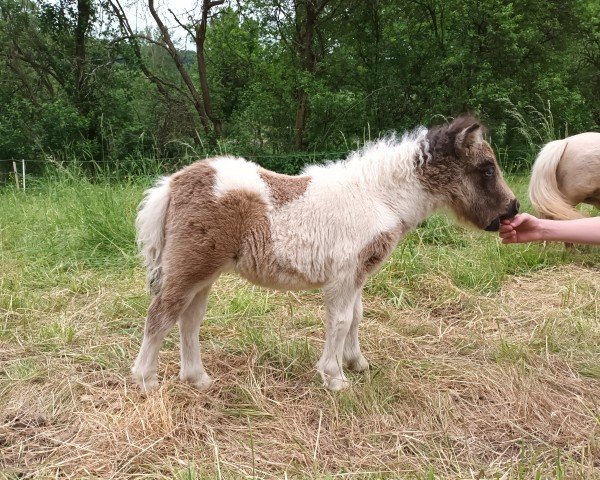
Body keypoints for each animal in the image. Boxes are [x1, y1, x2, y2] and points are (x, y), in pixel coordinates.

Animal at [134, 114, 516, 392]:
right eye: (486, 168)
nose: (512, 209)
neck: (378, 197)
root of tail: (174, 182)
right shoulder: (344, 275)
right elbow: (341, 320)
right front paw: (335, 378)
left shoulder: (359, 275)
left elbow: (357, 317)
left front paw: (357, 363)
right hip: (189, 267)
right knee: (161, 315)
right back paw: (146, 381)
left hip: (204, 273)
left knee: (189, 319)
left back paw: (197, 379)